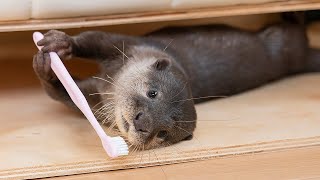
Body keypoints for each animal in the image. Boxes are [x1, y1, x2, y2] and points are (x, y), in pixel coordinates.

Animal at [32, 22, 320, 149]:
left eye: (162, 133)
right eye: (152, 92)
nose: (141, 123)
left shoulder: (96, 99)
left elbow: (66, 95)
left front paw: (47, 69)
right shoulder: (129, 45)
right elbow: (95, 38)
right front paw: (60, 45)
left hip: (286, 41)